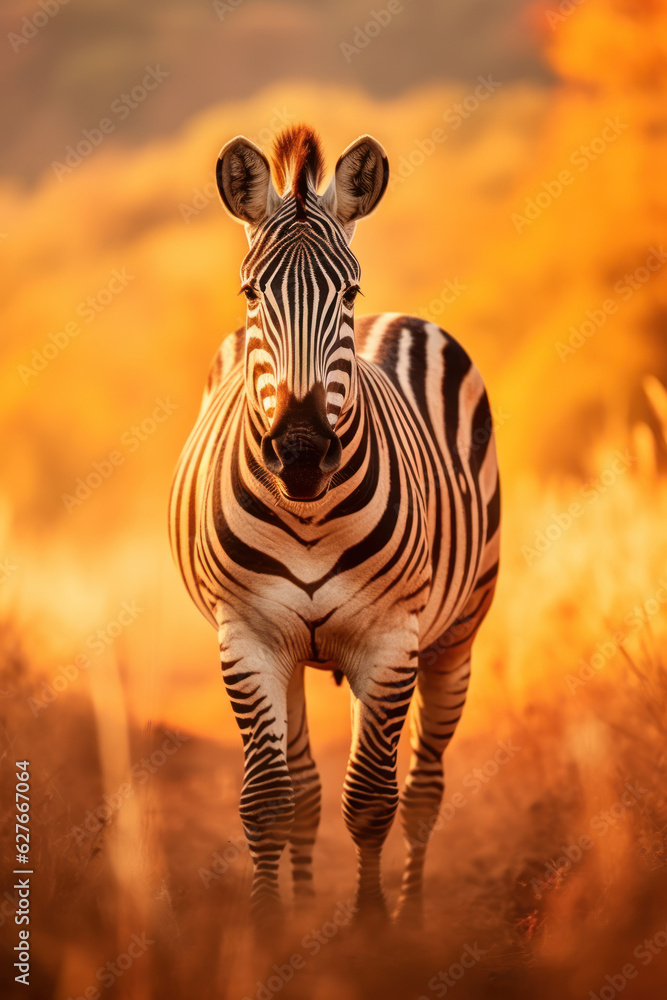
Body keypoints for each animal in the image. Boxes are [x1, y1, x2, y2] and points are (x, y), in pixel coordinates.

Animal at [169, 124, 500, 924]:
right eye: (250, 293)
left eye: (348, 291)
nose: (299, 451)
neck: (309, 512)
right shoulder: (249, 636)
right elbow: (269, 800)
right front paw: (268, 929)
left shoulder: (388, 641)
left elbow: (373, 800)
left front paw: (372, 930)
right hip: (292, 653)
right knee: (306, 789)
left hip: (453, 636)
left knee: (423, 788)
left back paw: (410, 917)